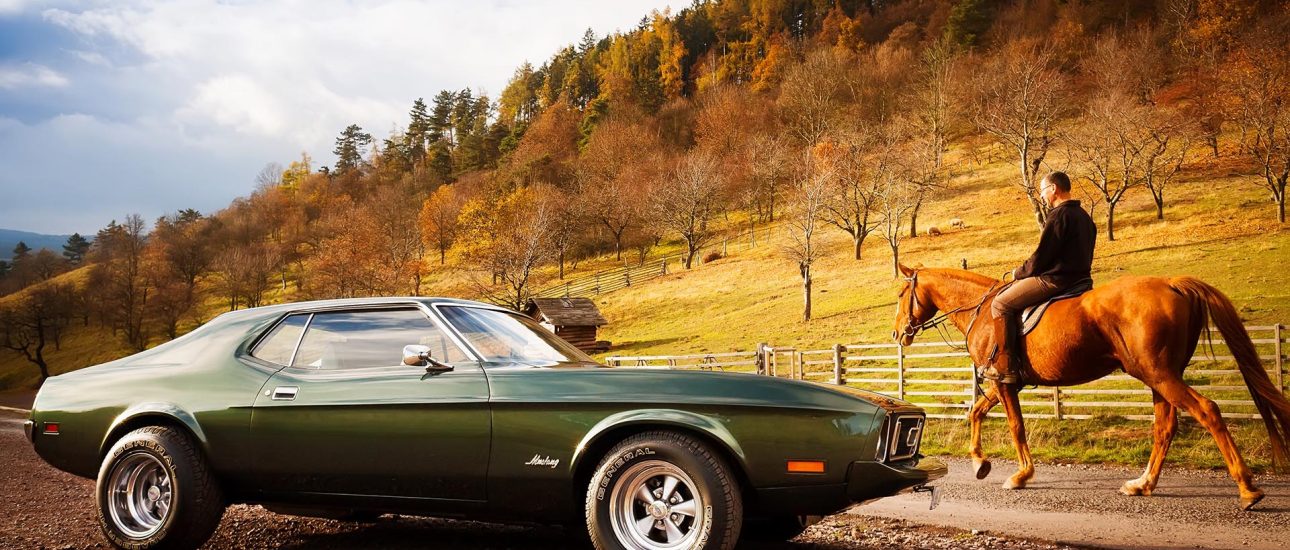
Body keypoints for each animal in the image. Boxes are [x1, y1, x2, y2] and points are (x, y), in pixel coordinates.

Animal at [892, 264, 1290, 508]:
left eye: (899, 295)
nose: (897, 333)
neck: (984, 308)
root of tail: (1171, 283)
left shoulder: (1003, 383)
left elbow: (1015, 427)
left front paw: (1021, 475)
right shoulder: (1003, 383)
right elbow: (975, 412)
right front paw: (979, 462)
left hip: (1160, 375)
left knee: (1207, 410)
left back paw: (1248, 489)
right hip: (1160, 378)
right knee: (1165, 427)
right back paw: (1143, 484)